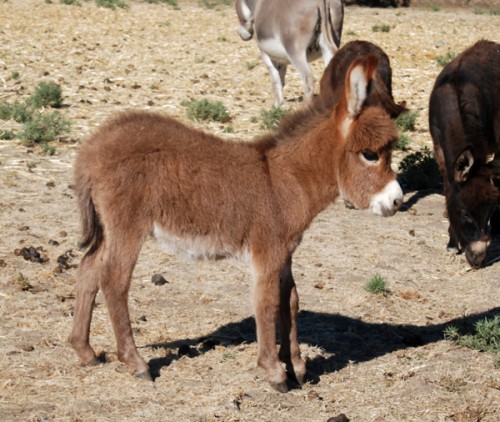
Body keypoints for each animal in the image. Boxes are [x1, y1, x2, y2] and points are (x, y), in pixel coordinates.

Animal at [69, 55, 402, 392]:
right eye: (370, 155)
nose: (397, 201)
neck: (284, 179)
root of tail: (91, 147)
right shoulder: (267, 252)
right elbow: (267, 302)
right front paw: (274, 372)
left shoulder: (285, 252)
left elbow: (291, 301)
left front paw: (296, 366)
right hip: (127, 225)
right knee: (114, 280)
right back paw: (135, 363)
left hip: (109, 228)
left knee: (88, 269)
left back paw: (85, 352)